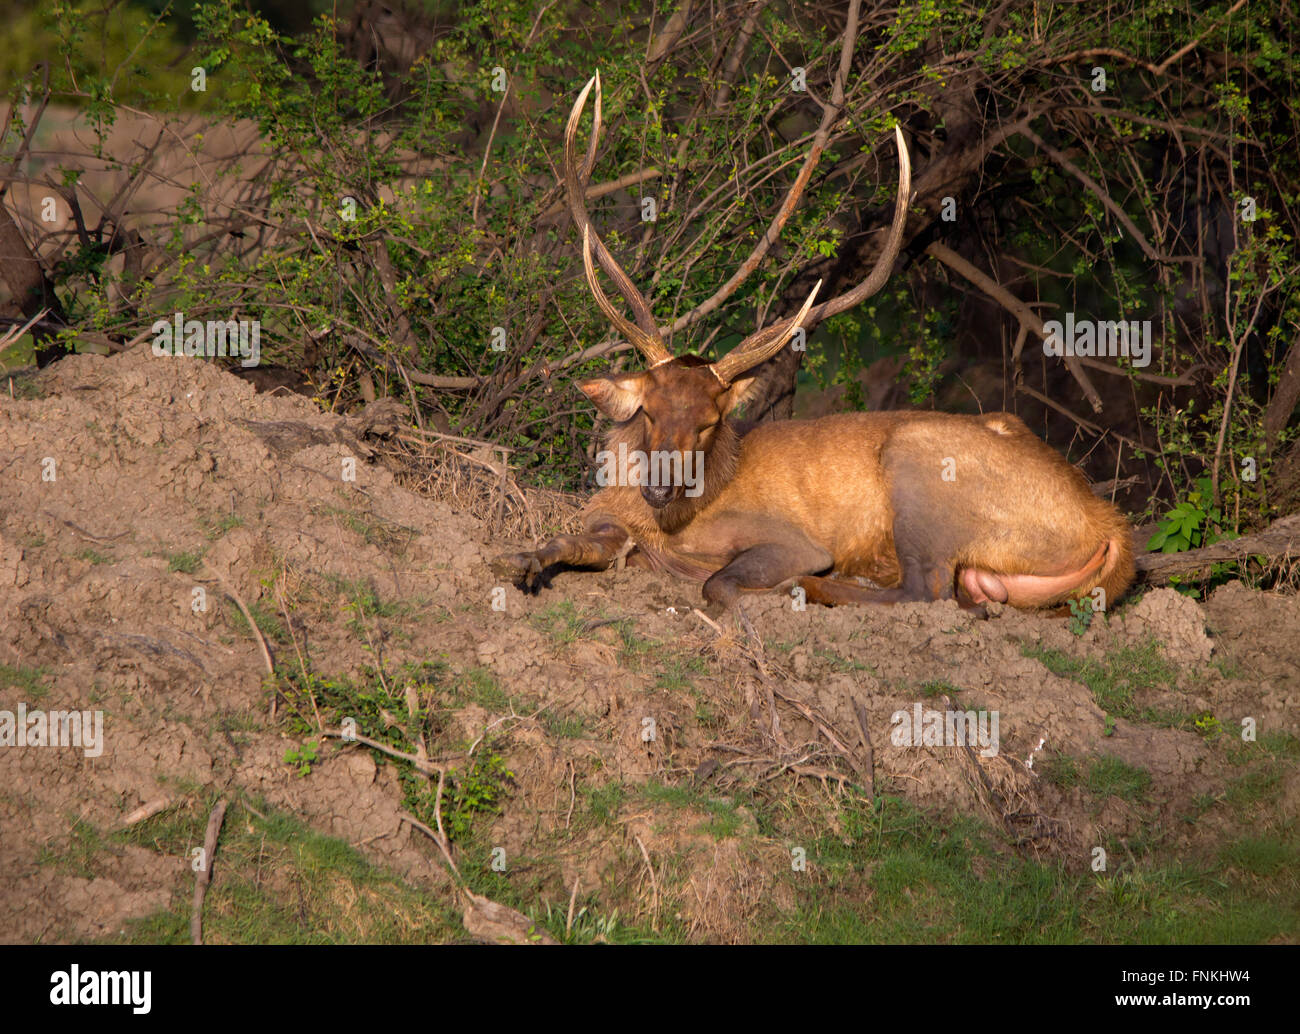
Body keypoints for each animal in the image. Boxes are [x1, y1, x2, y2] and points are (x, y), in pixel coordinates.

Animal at [491, 76, 1133, 619]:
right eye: (647, 410)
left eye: (709, 422)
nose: (659, 488)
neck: (663, 521)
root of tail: (1110, 528)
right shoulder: (605, 517)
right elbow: (566, 541)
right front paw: (516, 562)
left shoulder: (789, 539)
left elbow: (717, 580)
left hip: (920, 463)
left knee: (927, 589)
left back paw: (821, 588)